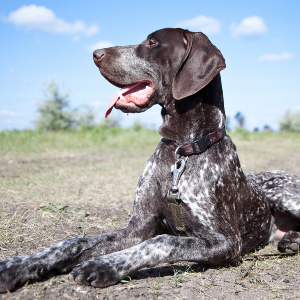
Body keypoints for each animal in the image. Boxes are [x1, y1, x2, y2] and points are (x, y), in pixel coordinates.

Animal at [0, 28, 300, 292]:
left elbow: (162, 242)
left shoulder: (226, 241)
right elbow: (72, 243)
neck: (181, 150)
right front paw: (19, 265)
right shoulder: (136, 228)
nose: (96, 53)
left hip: (285, 195)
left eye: (152, 42)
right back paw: (291, 240)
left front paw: (105, 264)